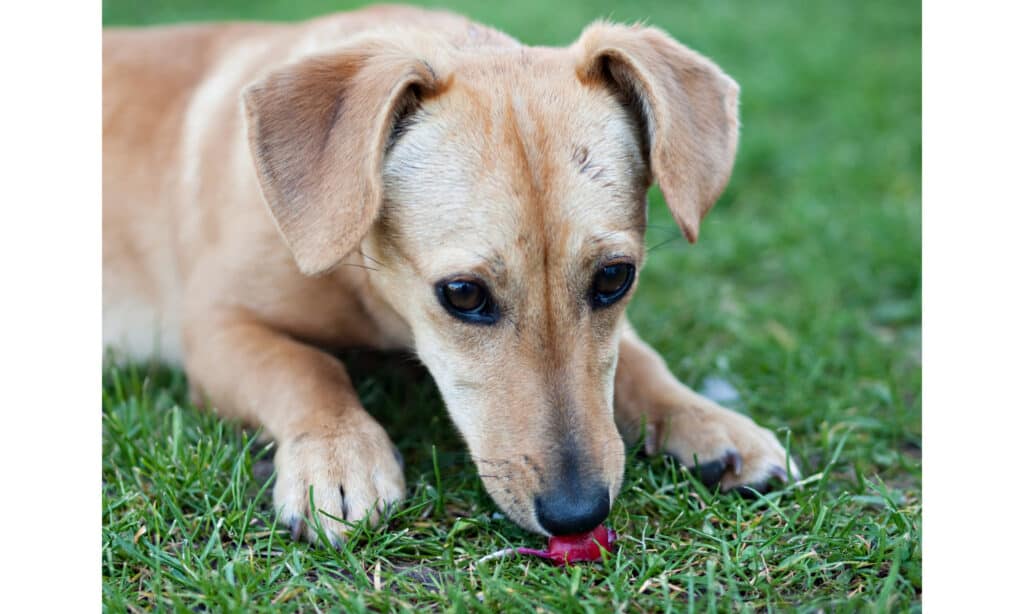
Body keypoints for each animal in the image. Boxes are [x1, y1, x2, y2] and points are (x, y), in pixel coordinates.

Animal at [105, 3, 798, 540]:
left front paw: (707, 420)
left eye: (614, 279)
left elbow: (640, 361)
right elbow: (304, 368)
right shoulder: (216, 331)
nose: (578, 515)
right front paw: (339, 456)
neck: (372, 292)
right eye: (462, 295)